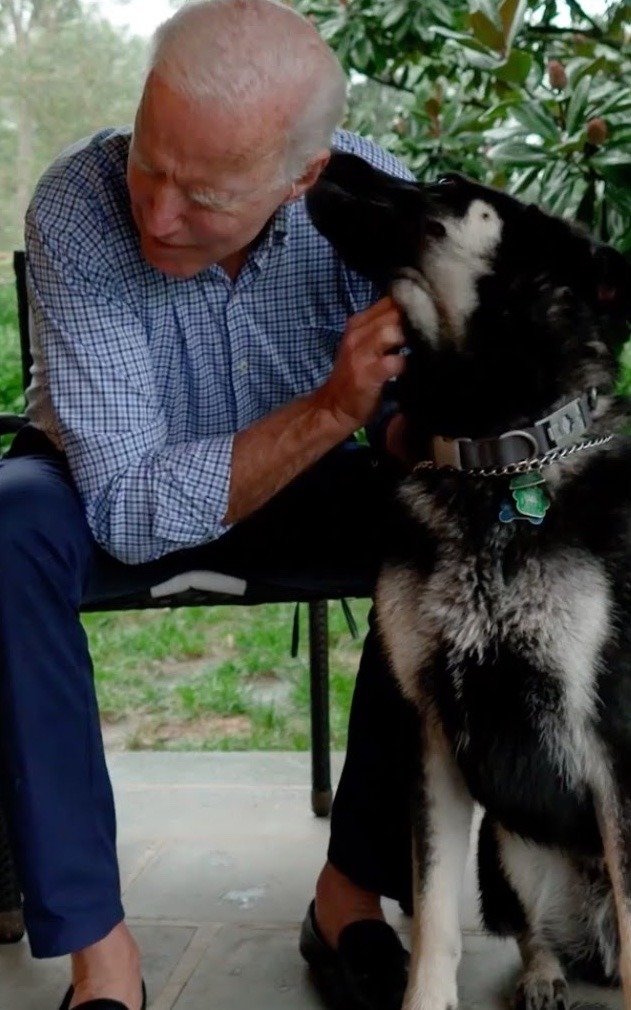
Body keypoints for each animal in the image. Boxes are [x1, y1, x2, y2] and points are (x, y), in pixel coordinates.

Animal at [304, 151, 629, 1010]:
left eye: (448, 188)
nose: (328, 154)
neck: (494, 458)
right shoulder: (432, 737)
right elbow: (434, 924)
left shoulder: (614, 745)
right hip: (506, 849)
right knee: (526, 930)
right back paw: (544, 975)